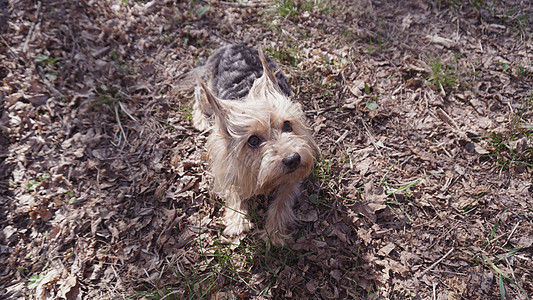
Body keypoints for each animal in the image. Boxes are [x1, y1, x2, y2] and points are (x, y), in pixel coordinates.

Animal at [181, 44, 318, 245]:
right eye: (253, 140)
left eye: (287, 125)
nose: (293, 159)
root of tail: (231, 45)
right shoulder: (227, 164)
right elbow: (232, 189)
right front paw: (238, 220)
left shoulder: (293, 178)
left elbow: (283, 199)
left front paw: (273, 231)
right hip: (207, 94)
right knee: (199, 97)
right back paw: (201, 120)